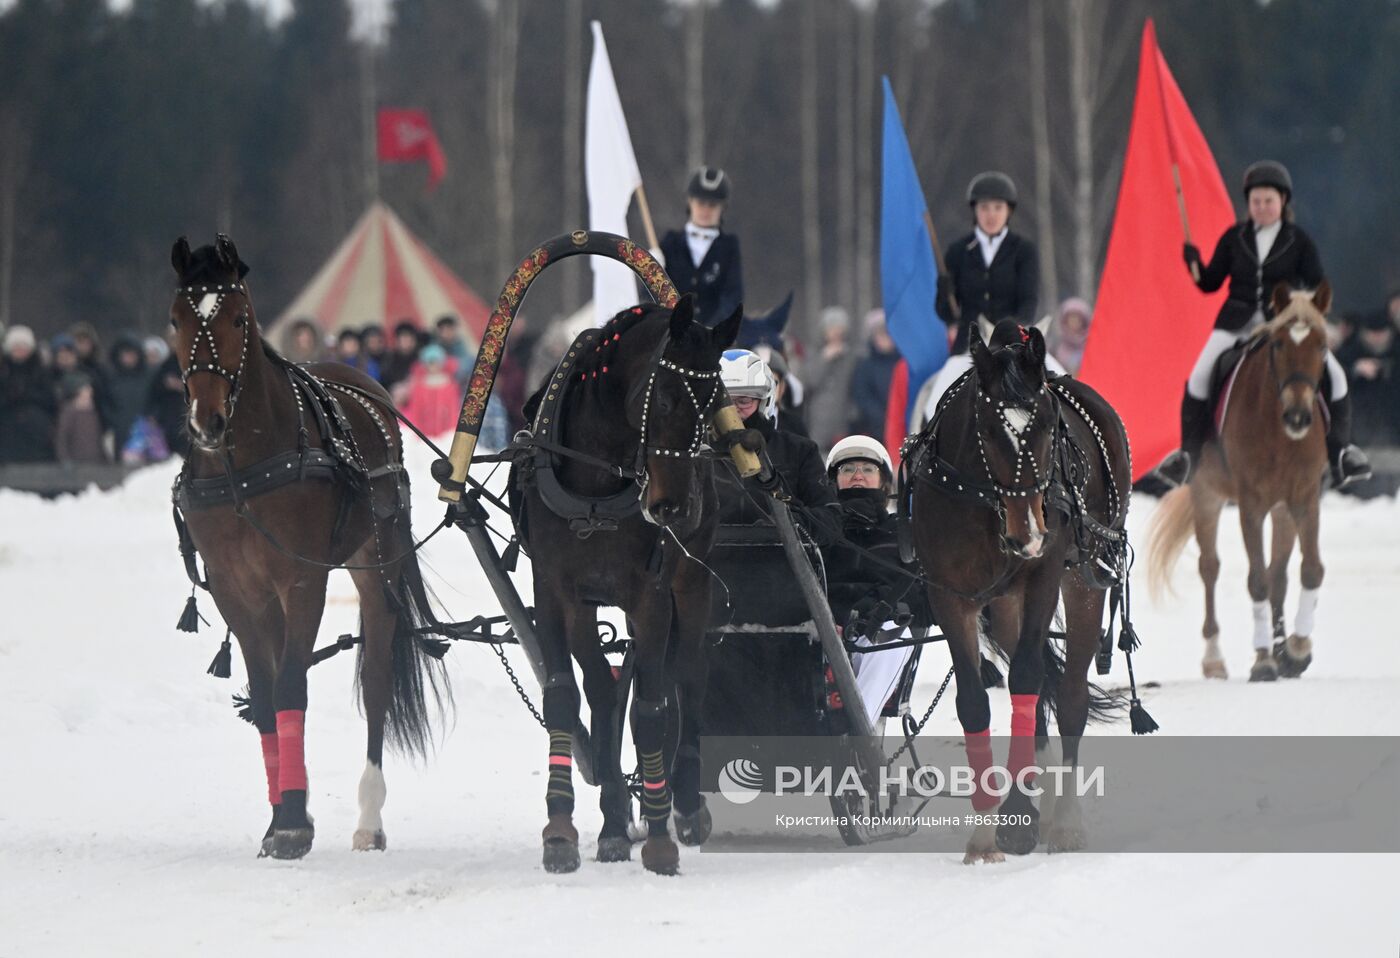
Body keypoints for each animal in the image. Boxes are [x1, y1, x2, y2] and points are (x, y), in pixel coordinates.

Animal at [168, 233, 450, 862]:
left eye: (238, 317)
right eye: (176, 319)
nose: (205, 420)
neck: (242, 468)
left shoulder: (301, 578)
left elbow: (292, 683)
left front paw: (294, 820)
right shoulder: (236, 588)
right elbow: (266, 696)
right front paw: (280, 817)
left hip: (376, 561)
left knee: (376, 677)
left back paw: (369, 816)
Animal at [512, 295, 744, 873]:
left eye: (716, 403)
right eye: (662, 397)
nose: (673, 506)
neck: (597, 484)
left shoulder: (650, 594)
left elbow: (649, 710)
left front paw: (660, 836)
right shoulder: (555, 590)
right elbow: (564, 696)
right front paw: (561, 832)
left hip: (691, 580)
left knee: (686, 674)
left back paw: (683, 804)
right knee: (602, 687)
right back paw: (615, 820)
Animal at [907, 317, 1136, 862]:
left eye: (1050, 427)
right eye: (990, 430)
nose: (1029, 532)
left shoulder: (1043, 578)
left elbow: (1030, 681)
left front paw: (1017, 818)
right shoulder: (949, 595)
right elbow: (975, 701)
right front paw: (988, 832)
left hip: (1082, 579)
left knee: (1067, 696)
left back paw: (1065, 822)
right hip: (1007, 604)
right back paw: (1041, 807)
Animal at [1148, 282, 1332, 680]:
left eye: (1322, 345)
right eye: (1278, 344)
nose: (1298, 417)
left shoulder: (1304, 498)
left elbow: (1309, 570)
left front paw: (1297, 649)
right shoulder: (1251, 505)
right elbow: (1256, 579)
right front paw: (1263, 660)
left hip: (1282, 511)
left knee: (1278, 575)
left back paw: (1282, 651)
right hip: (1206, 495)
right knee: (1210, 568)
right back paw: (1215, 658)